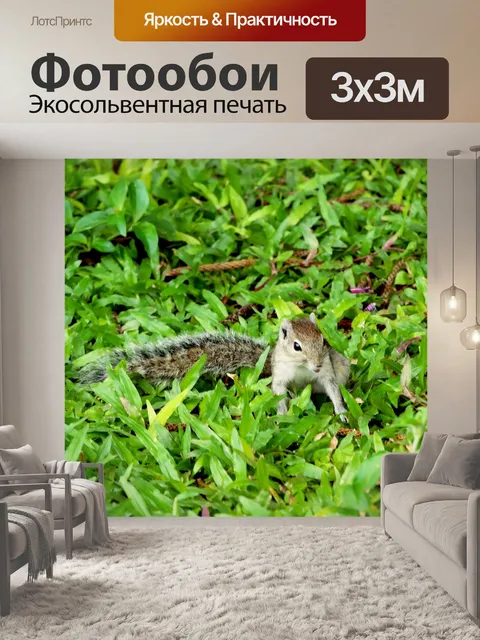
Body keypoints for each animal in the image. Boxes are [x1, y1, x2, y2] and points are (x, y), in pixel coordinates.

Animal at [78, 313, 350, 420]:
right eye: (296, 346)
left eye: (323, 340)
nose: (316, 364)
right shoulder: (281, 376)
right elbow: (279, 394)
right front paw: (283, 415)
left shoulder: (328, 373)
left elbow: (333, 390)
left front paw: (342, 413)